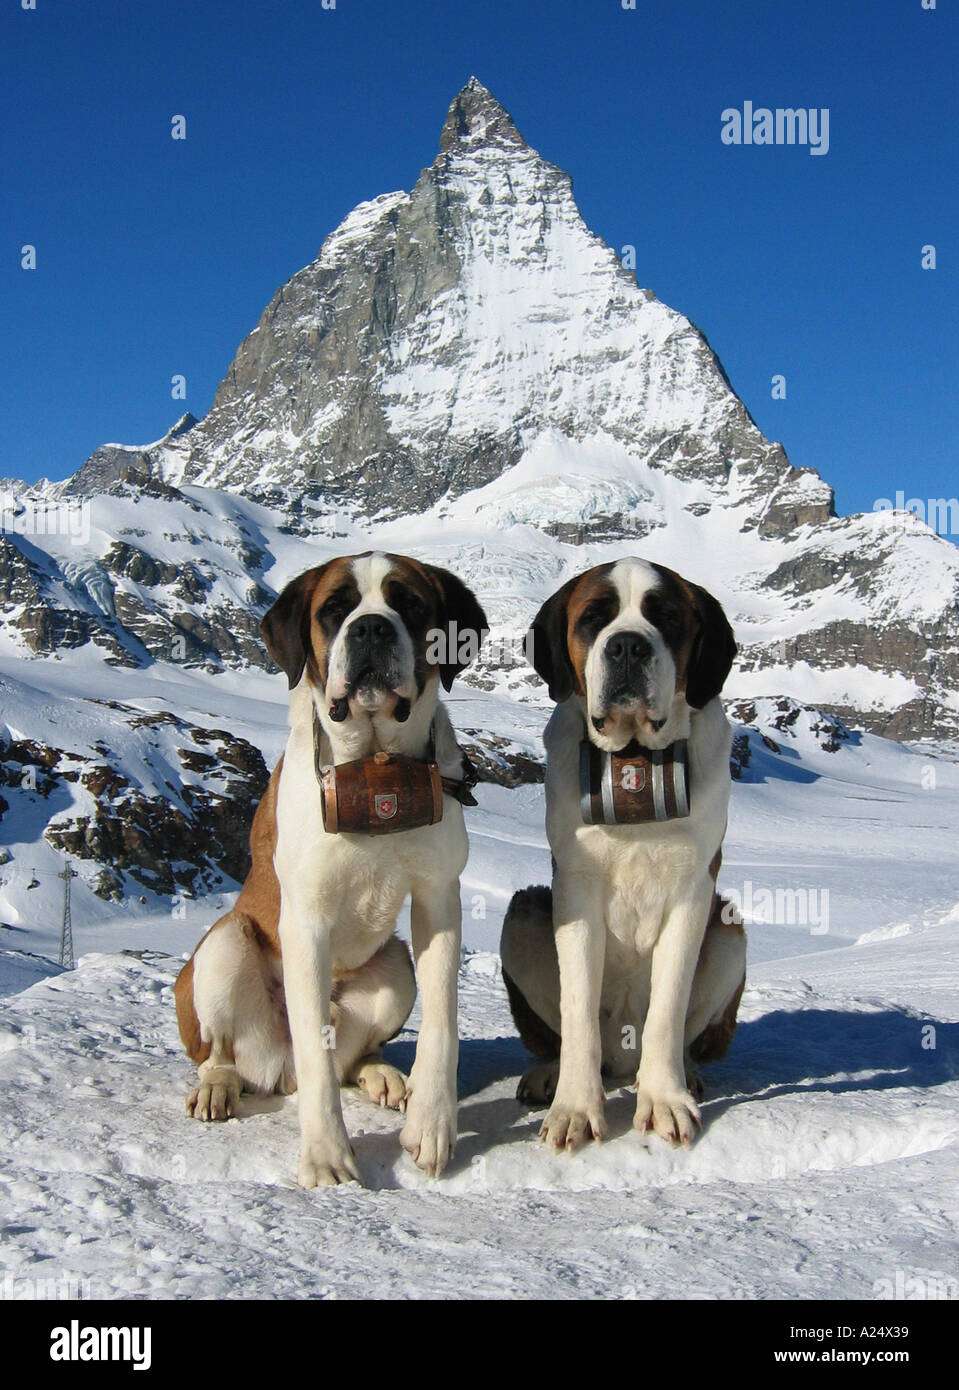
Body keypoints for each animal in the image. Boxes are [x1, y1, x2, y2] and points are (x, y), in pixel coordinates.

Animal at [173, 550, 486, 1184]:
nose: (370, 629)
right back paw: (217, 1087)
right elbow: (316, 1059)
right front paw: (326, 1156)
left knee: (350, 1057)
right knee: (229, 1053)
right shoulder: (305, 920)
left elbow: (442, 1022)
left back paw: (381, 1075)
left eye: (408, 603)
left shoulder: (439, 900)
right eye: (334, 610)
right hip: (224, 945)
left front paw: (432, 1126)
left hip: (394, 967)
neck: (376, 762)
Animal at [500, 553, 744, 1150]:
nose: (628, 646)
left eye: (667, 617)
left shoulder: (694, 893)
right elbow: (578, 1007)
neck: (634, 756)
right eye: (594, 618)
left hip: (729, 928)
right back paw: (548, 1075)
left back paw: (685, 1075)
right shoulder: (576, 891)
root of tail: (620, 1062)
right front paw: (573, 1109)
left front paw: (665, 1101)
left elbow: (668, 1005)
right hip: (523, 911)